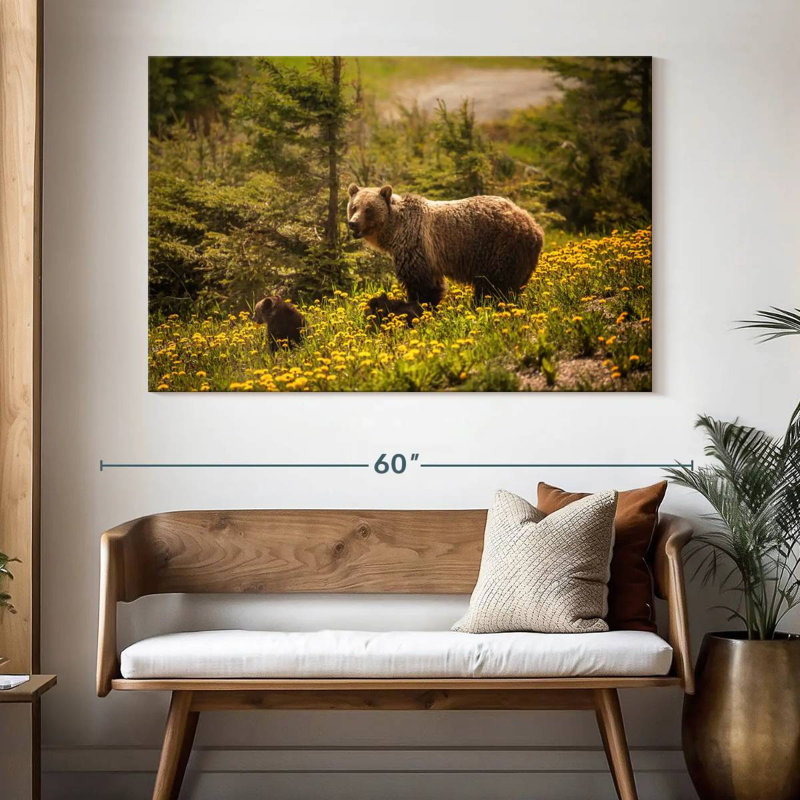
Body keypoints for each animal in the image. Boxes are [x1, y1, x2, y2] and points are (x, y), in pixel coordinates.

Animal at [347, 184, 543, 306]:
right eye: (354, 207)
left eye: (368, 209)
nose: (353, 223)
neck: (394, 229)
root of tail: (534, 226)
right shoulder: (430, 257)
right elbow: (434, 284)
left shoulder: (415, 246)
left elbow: (420, 284)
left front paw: (420, 306)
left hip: (500, 248)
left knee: (496, 286)